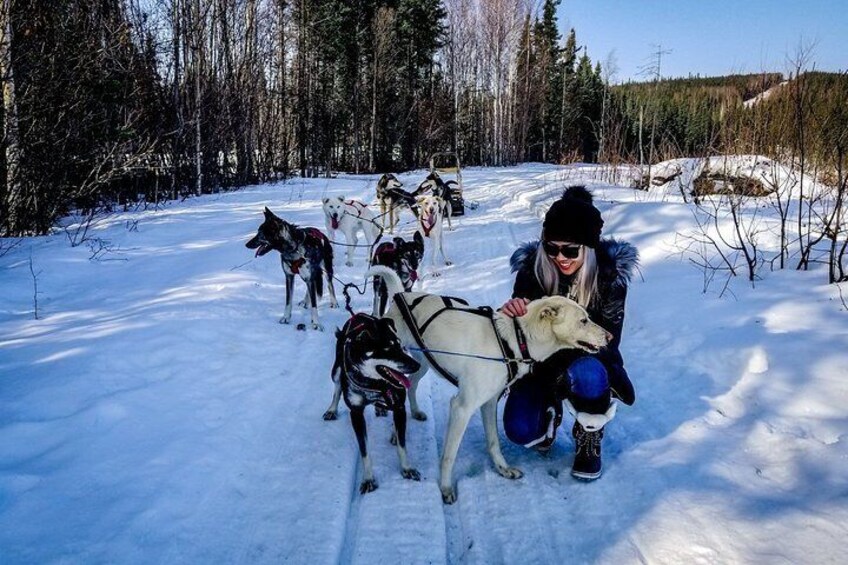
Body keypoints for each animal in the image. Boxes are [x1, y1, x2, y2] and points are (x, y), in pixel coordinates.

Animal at [322, 312, 422, 494]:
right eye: (388, 349)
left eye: (399, 345)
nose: (417, 365)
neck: (374, 383)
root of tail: (358, 315)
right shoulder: (356, 413)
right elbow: (364, 451)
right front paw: (368, 478)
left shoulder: (398, 405)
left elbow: (402, 446)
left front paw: (407, 469)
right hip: (336, 370)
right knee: (337, 389)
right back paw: (331, 410)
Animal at [368, 266, 612, 504]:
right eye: (583, 320)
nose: (610, 336)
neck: (514, 340)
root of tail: (401, 295)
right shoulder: (461, 407)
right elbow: (449, 455)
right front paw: (445, 488)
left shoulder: (490, 401)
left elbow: (493, 442)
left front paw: (503, 469)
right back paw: (395, 431)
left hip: (422, 365)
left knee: (410, 386)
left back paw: (413, 414)